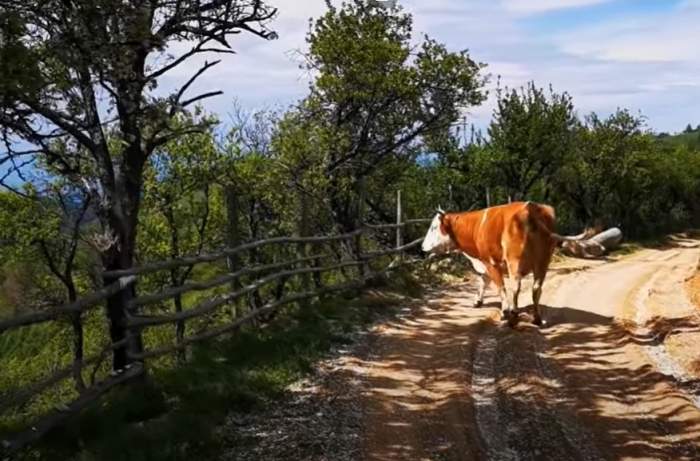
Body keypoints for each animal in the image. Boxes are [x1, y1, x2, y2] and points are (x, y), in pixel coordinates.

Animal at [424, 201, 584, 328]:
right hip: (543, 260)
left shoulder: (490, 262)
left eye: (433, 227)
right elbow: (483, 281)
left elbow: (500, 287)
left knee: (515, 287)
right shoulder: (483, 264)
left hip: (515, 261)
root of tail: (530, 207)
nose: (422, 246)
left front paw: (504, 311)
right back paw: (536, 319)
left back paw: (513, 318)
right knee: (537, 288)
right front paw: (477, 301)